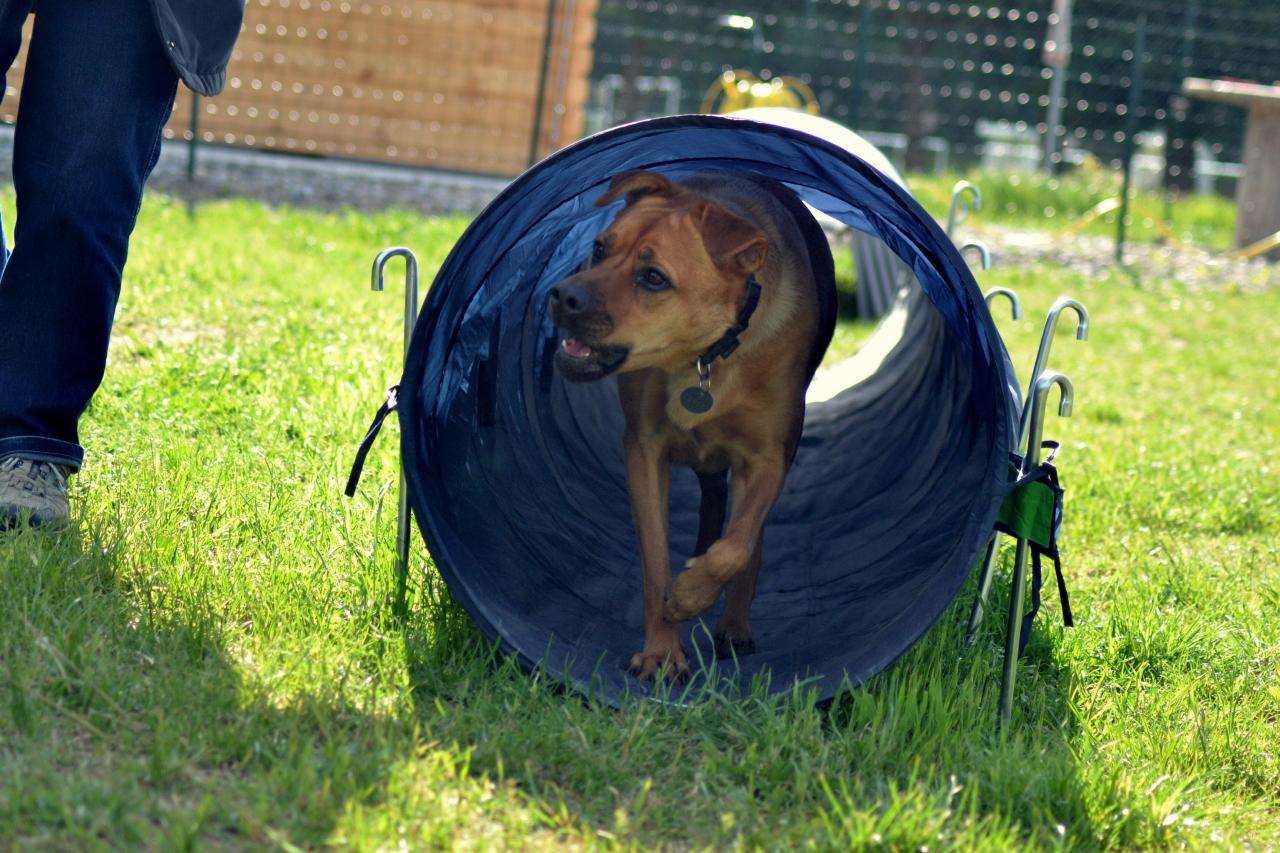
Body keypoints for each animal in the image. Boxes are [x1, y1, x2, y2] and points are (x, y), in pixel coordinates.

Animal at [547, 171, 829, 676]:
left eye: (654, 277)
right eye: (599, 248)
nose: (562, 296)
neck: (705, 357)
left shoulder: (768, 458)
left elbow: (738, 547)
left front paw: (692, 595)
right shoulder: (644, 450)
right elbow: (656, 558)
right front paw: (662, 649)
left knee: (748, 540)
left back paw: (734, 624)